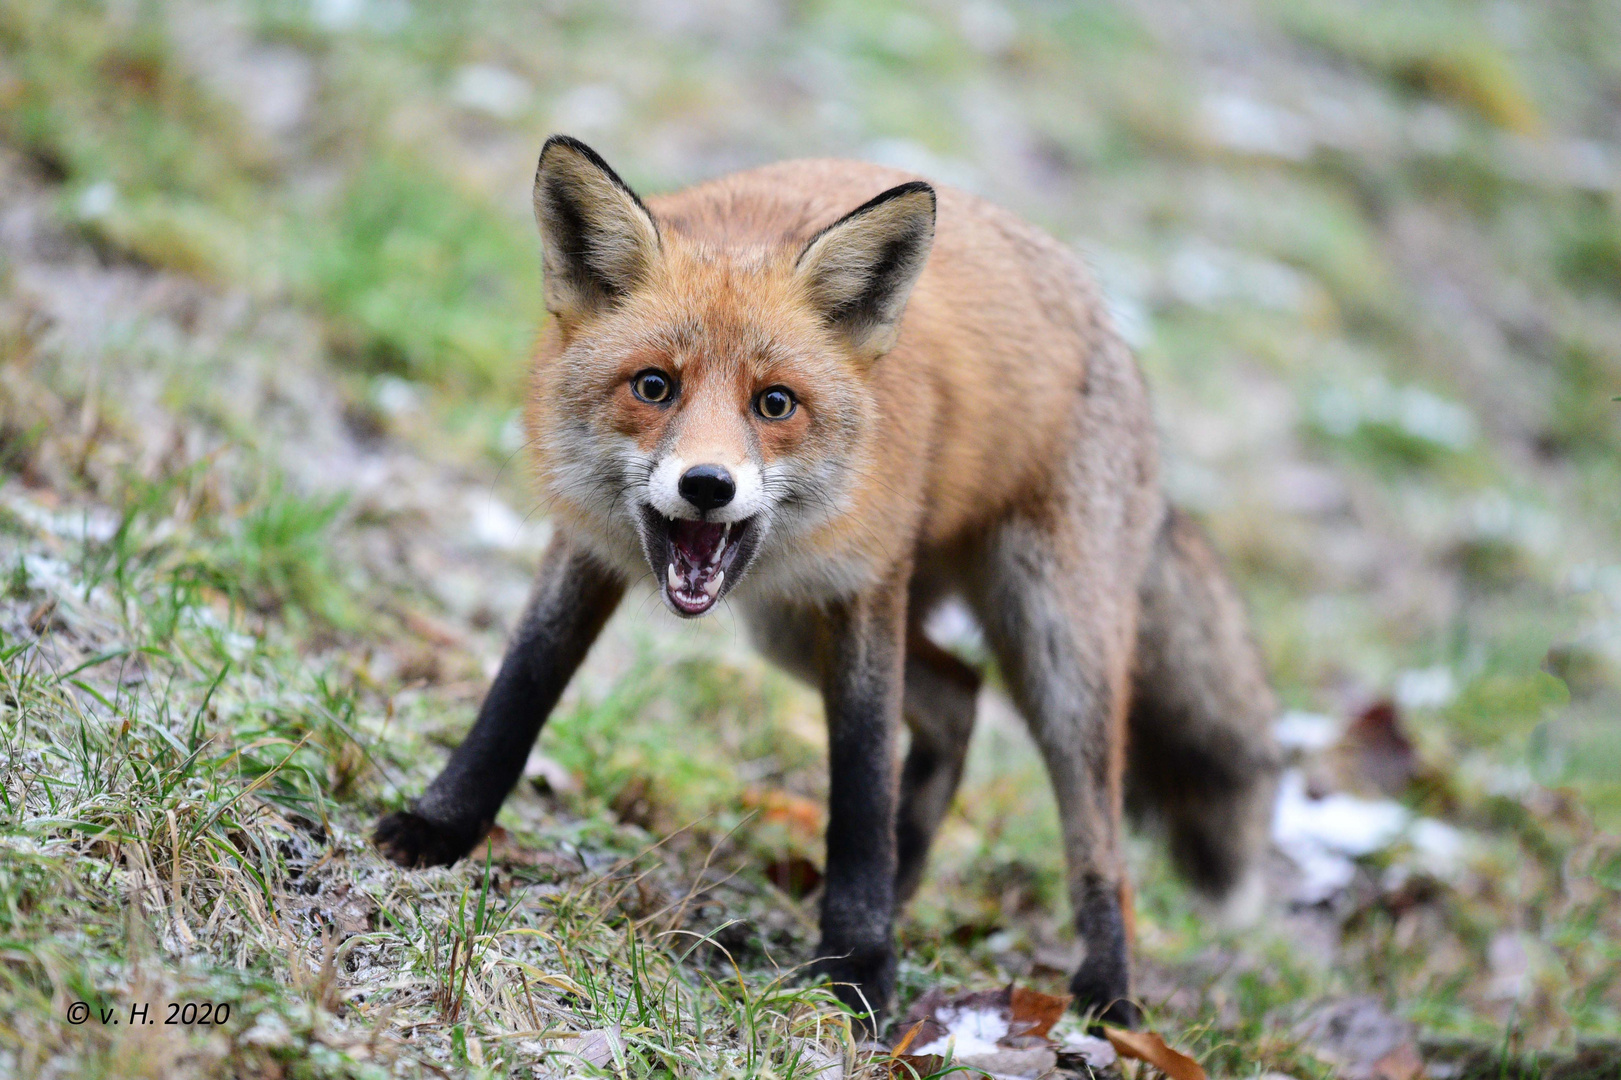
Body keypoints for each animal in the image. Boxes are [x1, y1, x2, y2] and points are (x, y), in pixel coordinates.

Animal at [379, 134, 1277, 1024]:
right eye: (654, 386)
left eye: (774, 403)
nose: (707, 485)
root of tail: (1112, 329)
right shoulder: (588, 548)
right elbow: (518, 690)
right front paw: (439, 828)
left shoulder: (865, 585)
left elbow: (861, 783)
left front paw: (856, 968)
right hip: (784, 622)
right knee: (959, 694)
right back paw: (906, 880)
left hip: (1055, 645)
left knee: (1100, 837)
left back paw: (1108, 996)